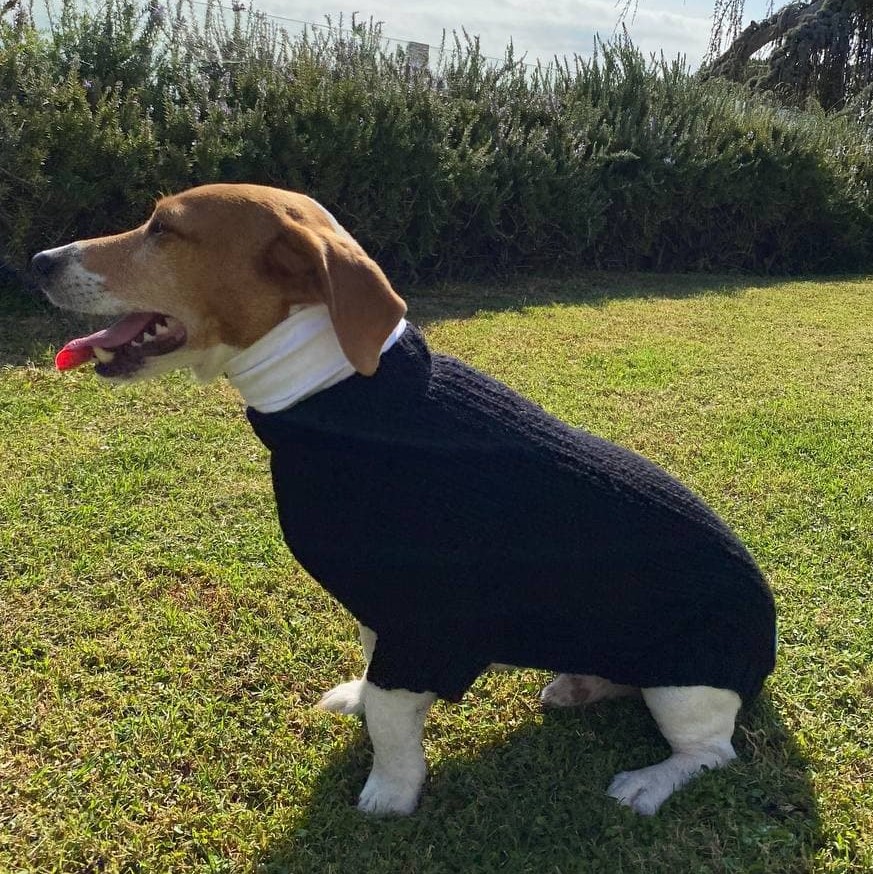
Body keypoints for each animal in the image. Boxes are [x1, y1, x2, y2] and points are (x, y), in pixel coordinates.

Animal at [31, 183, 777, 817]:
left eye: (164, 228)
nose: (38, 260)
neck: (331, 392)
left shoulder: (423, 620)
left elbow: (393, 716)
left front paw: (388, 793)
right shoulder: (376, 603)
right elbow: (372, 670)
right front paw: (359, 702)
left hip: (686, 687)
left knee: (711, 752)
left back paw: (649, 781)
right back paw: (583, 683)